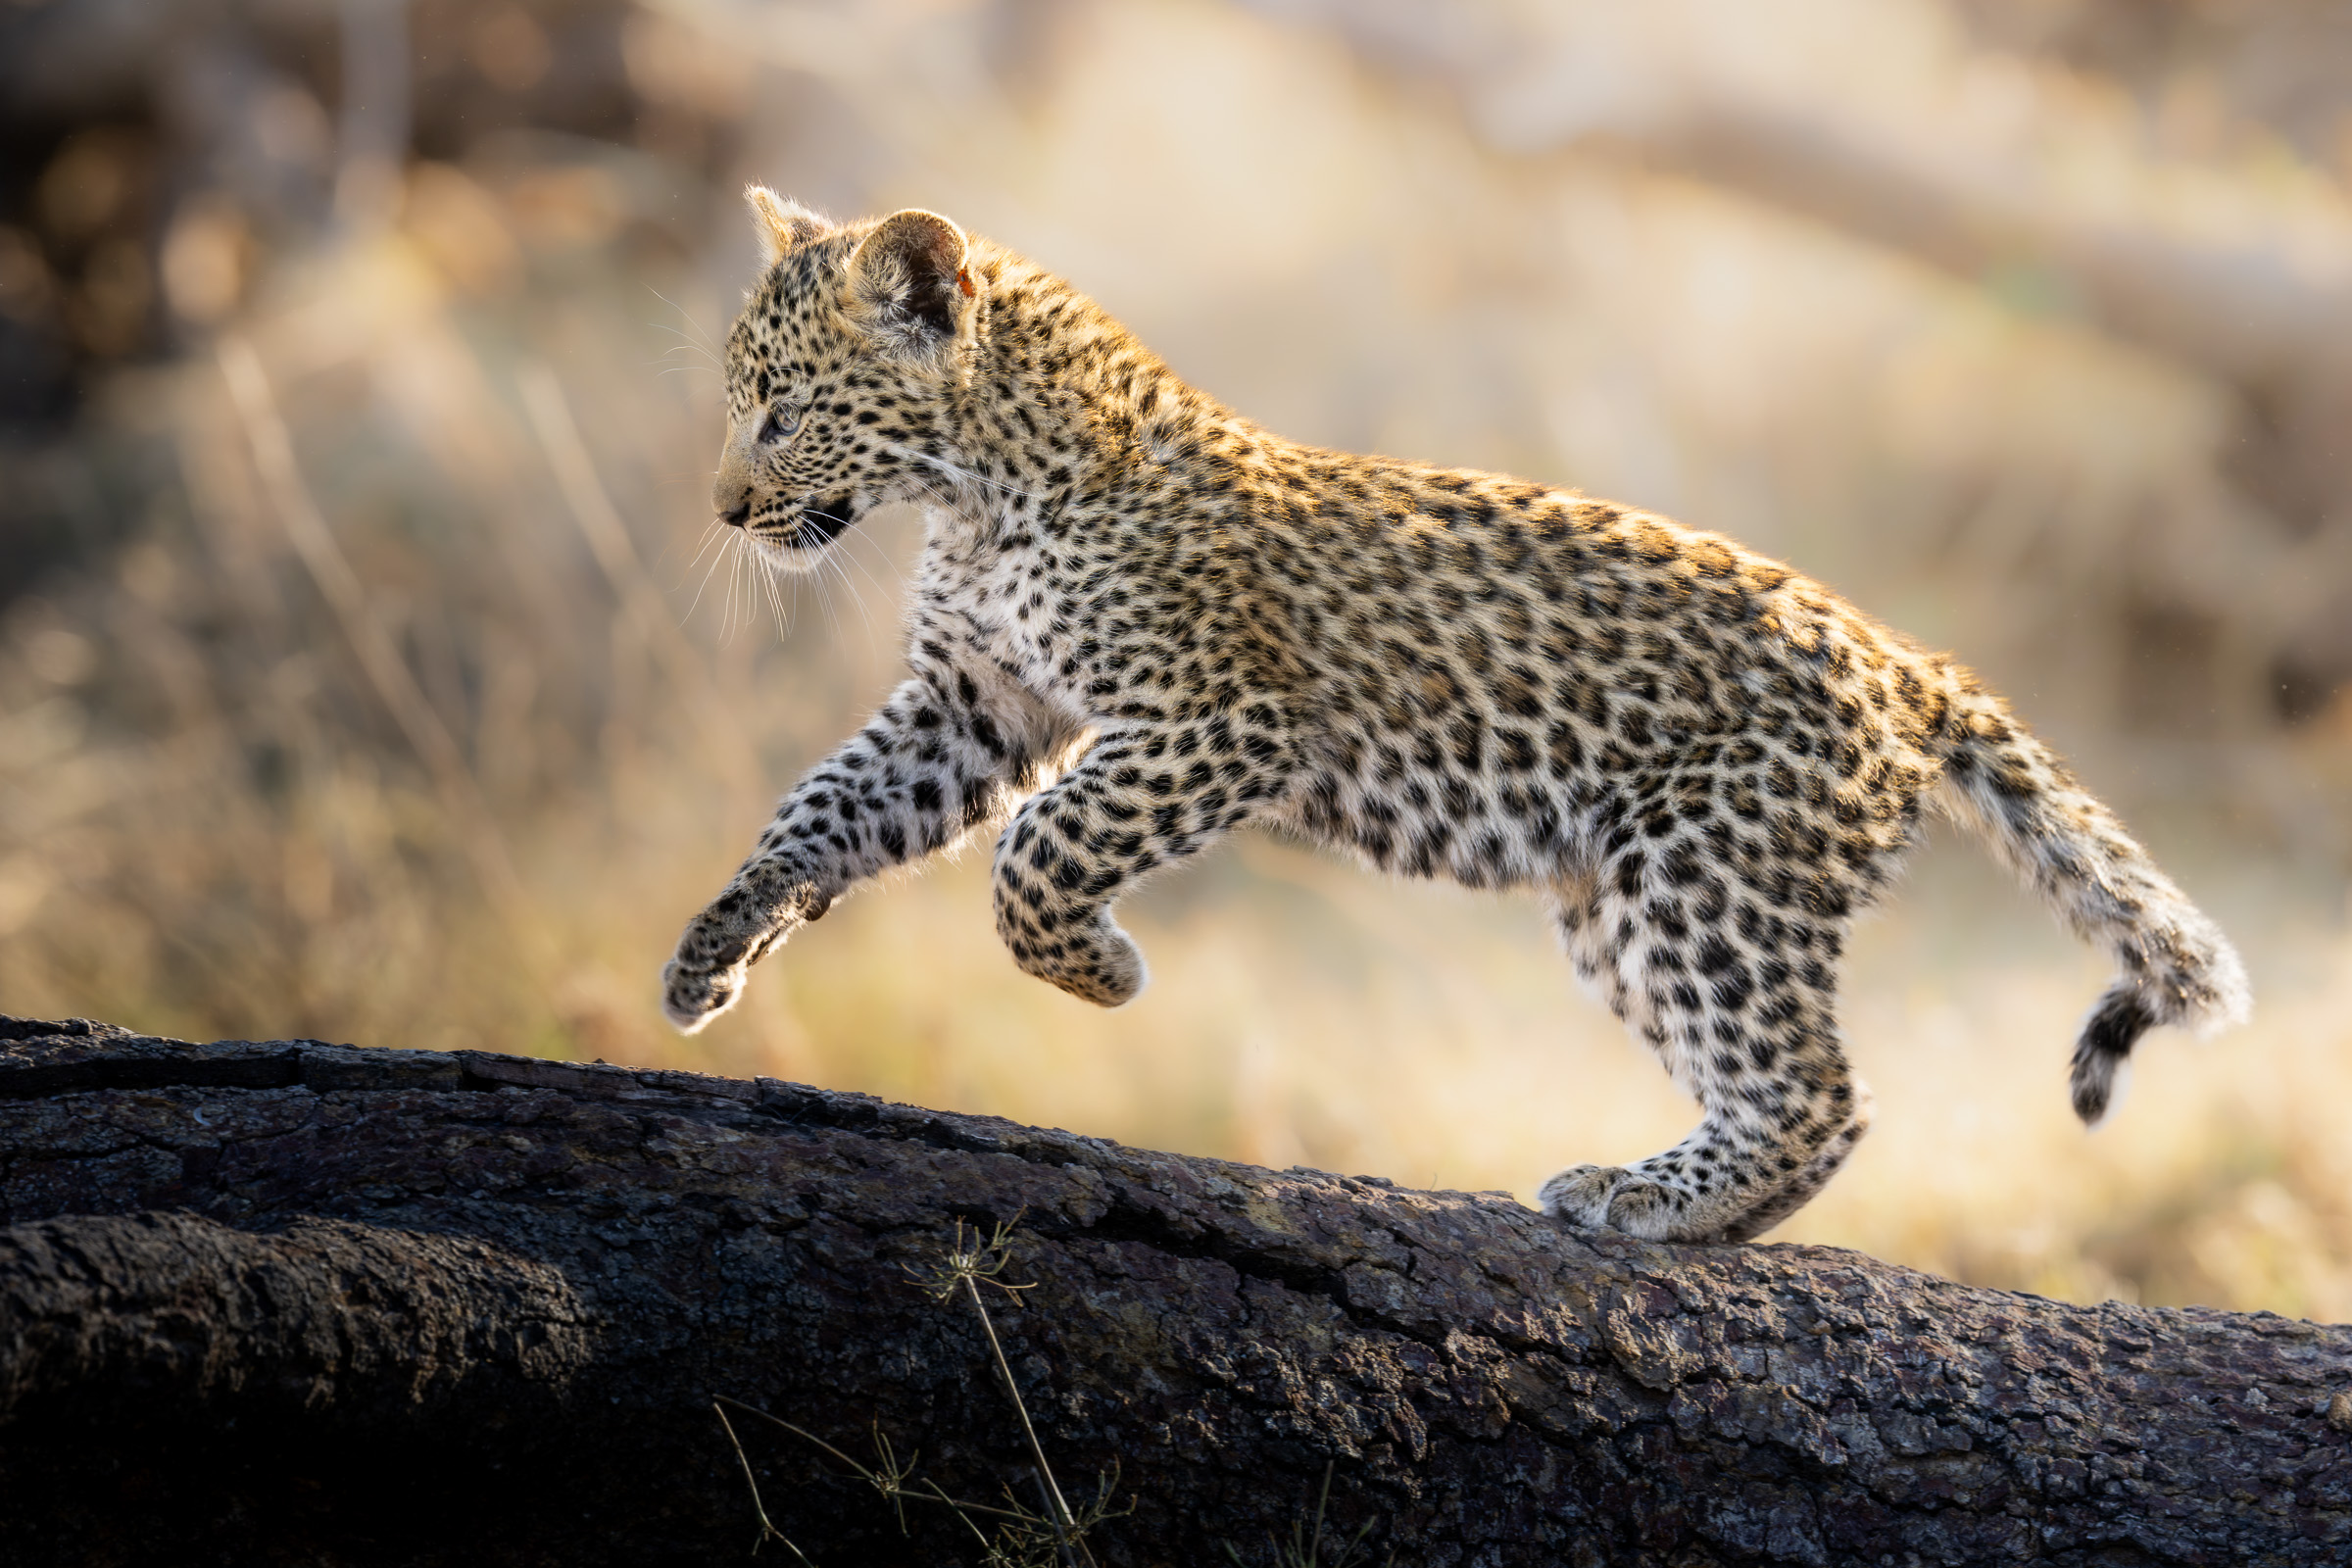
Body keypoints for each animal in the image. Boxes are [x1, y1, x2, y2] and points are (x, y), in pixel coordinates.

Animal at [660, 187, 2252, 1243]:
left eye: (783, 410)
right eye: (740, 404)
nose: (723, 509)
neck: (973, 496)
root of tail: (1907, 661)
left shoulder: (1222, 717)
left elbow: (1038, 854)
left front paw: (1104, 974)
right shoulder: (968, 707)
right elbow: (826, 807)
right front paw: (711, 952)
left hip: (1706, 870)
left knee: (1817, 1090)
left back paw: (1646, 1200)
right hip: (1618, 898)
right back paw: (1681, 1202)